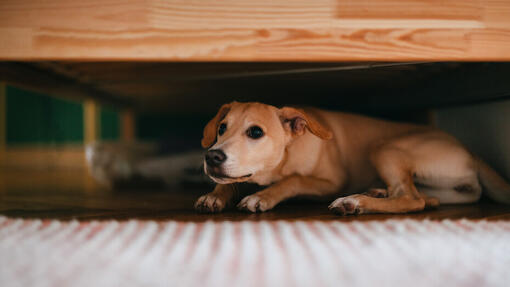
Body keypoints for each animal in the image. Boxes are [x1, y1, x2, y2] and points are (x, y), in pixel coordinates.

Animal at [194, 102, 510, 216]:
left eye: (256, 132)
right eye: (222, 128)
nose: (212, 156)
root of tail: (472, 153)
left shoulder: (331, 182)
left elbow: (294, 180)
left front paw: (263, 196)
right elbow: (230, 182)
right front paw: (215, 195)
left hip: (385, 147)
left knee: (411, 199)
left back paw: (355, 202)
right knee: (423, 197)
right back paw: (375, 192)